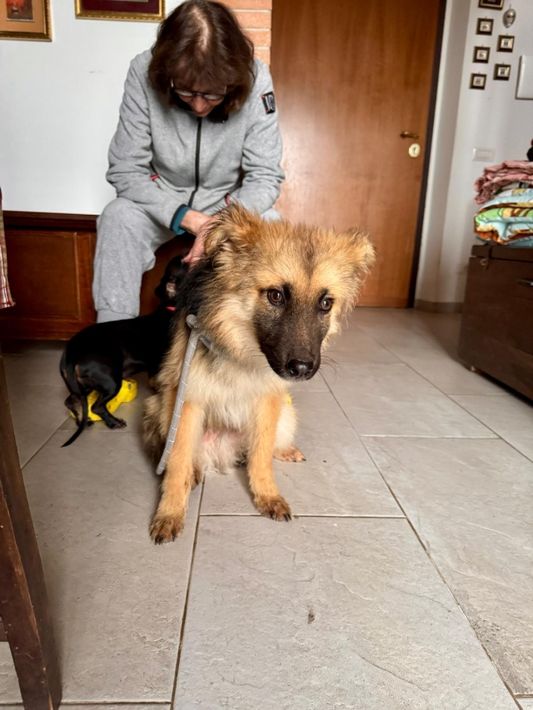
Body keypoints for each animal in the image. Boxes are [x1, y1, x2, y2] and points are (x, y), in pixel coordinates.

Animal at [60, 256, 187, 447]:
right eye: (184, 263)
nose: (181, 256)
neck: (170, 309)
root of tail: (71, 352)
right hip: (111, 380)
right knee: (96, 406)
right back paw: (113, 422)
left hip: (83, 384)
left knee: (71, 401)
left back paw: (85, 420)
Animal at [144, 205, 375, 543]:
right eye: (276, 296)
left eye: (325, 303)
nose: (302, 369)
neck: (241, 349)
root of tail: (223, 451)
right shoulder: (186, 399)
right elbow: (177, 461)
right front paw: (170, 512)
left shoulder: (269, 401)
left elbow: (261, 456)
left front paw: (267, 495)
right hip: (157, 407)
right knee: (184, 455)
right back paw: (195, 472)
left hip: (287, 414)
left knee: (259, 452)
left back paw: (285, 451)